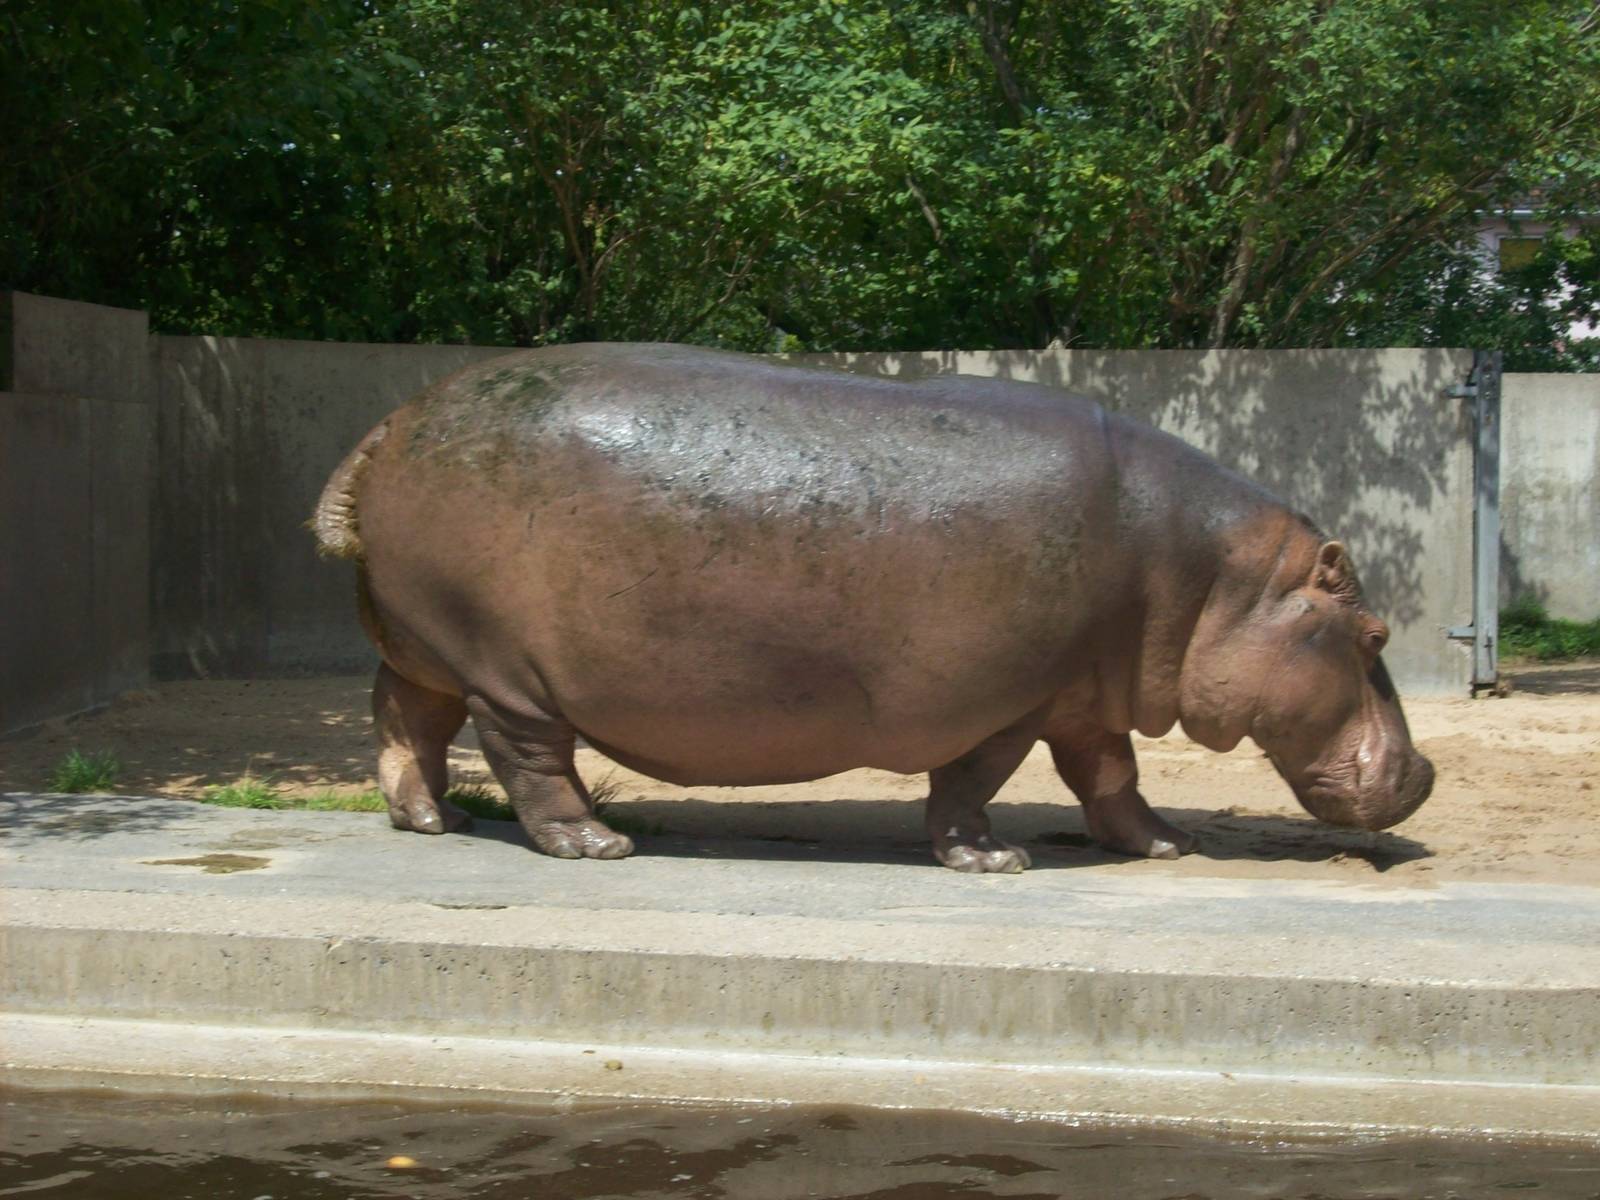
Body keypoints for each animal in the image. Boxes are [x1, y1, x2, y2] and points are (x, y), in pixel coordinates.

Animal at [313, 344, 1433, 873]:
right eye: (1375, 632)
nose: (1422, 774)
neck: (1216, 583)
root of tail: (388, 426)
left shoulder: (1083, 695)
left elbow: (1112, 777)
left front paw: (1163, 845)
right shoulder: (1013, 701)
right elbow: (974, 783)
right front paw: (992, 860)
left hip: (423, 646)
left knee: (404, 720)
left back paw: (432, 820)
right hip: (506, 668)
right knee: (529, 757)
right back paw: (595, 846)